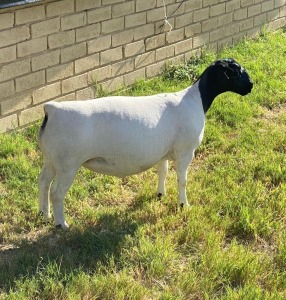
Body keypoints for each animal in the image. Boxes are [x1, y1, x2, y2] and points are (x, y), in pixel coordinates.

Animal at [37, 58, 252, 227]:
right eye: (236, 71)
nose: (250, 86)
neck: (196, 99)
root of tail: (52, 110)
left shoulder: (163, 152)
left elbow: (163, 172)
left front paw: (160, 195)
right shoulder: (186, 151)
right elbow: (182, 180)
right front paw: (184, 205)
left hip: (51, 159)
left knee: (43, 182)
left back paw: (44, 214)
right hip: (67, 164)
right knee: (56, 193)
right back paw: (61, 224)